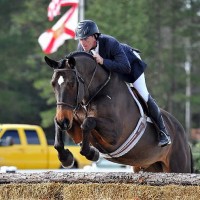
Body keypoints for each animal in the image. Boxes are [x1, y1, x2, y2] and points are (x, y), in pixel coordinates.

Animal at [44, 52, 193, 173]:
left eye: (72, 83)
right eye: (53, 84)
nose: (63, 121)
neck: (96, 92)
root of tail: (184, 137)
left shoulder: (115, 134)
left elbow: (88, 122)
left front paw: (91, 153)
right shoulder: (71, 120)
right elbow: (60, 129)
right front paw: (66, 158)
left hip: (178, 166)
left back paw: (164, 138)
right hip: (149, 166)